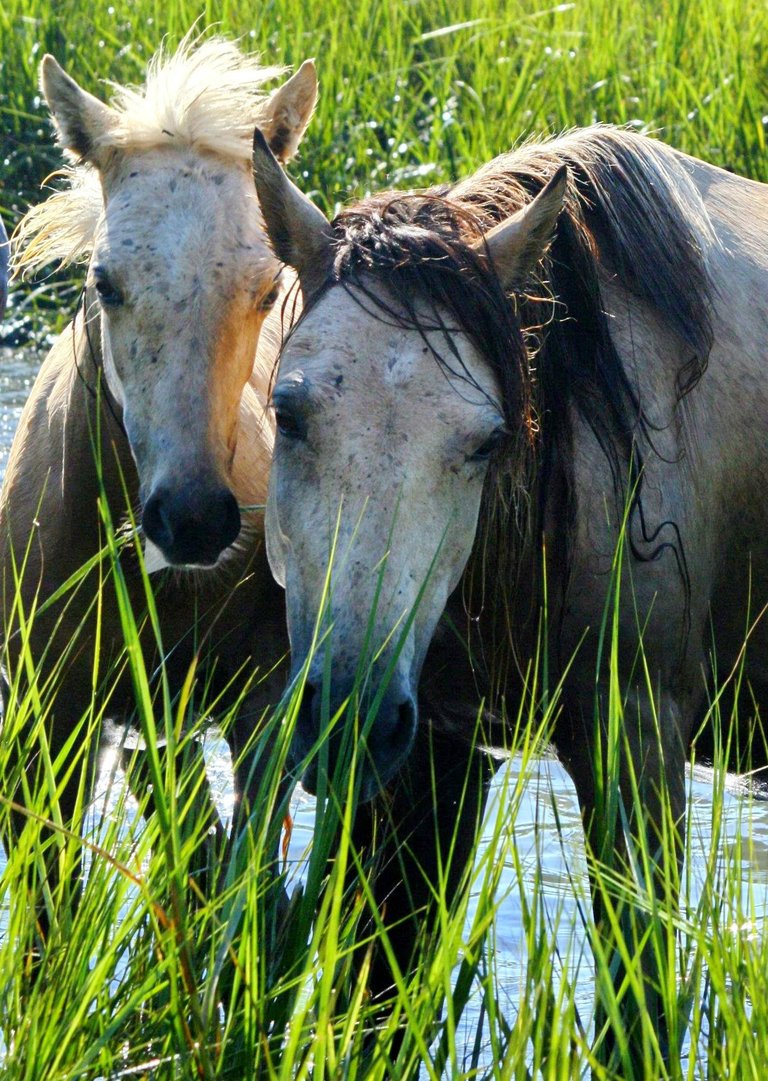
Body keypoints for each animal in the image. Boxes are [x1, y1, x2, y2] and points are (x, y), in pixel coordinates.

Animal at [1, 38, 315, 942]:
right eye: (105, 282)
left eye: (265, 287)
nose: (194, 521)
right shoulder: (48, 726)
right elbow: (47, 921)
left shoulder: (263, 710)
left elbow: (246, 895)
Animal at [250, 124, 768, 1063]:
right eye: (289, 412)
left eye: (487, 440)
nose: (350, 713)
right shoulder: (434, 757)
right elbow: (379, 1002)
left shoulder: (636, 740)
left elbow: (638, 1016)